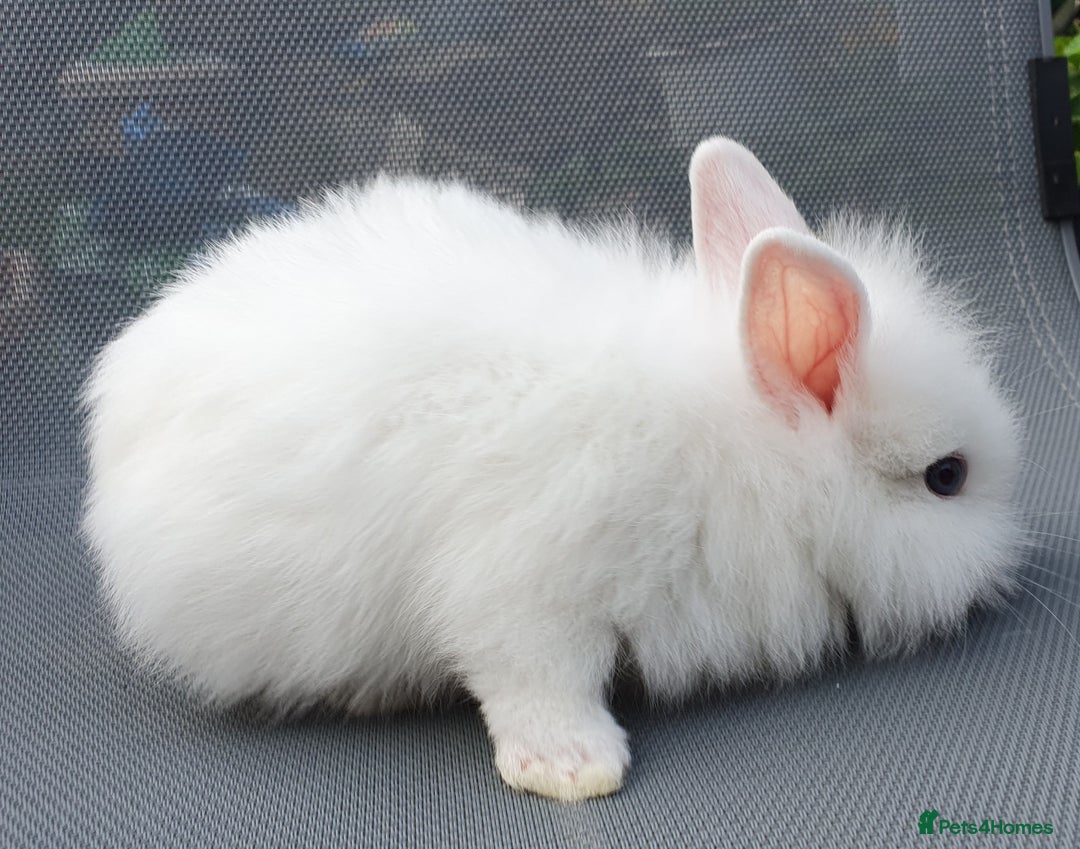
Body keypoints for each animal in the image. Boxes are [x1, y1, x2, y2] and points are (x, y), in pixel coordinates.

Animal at [81, 137, 1023, 802]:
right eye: (947, 476)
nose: (1012, 562)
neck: (735, 453)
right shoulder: (528, 588)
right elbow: (536, 677)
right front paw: (573, 768)